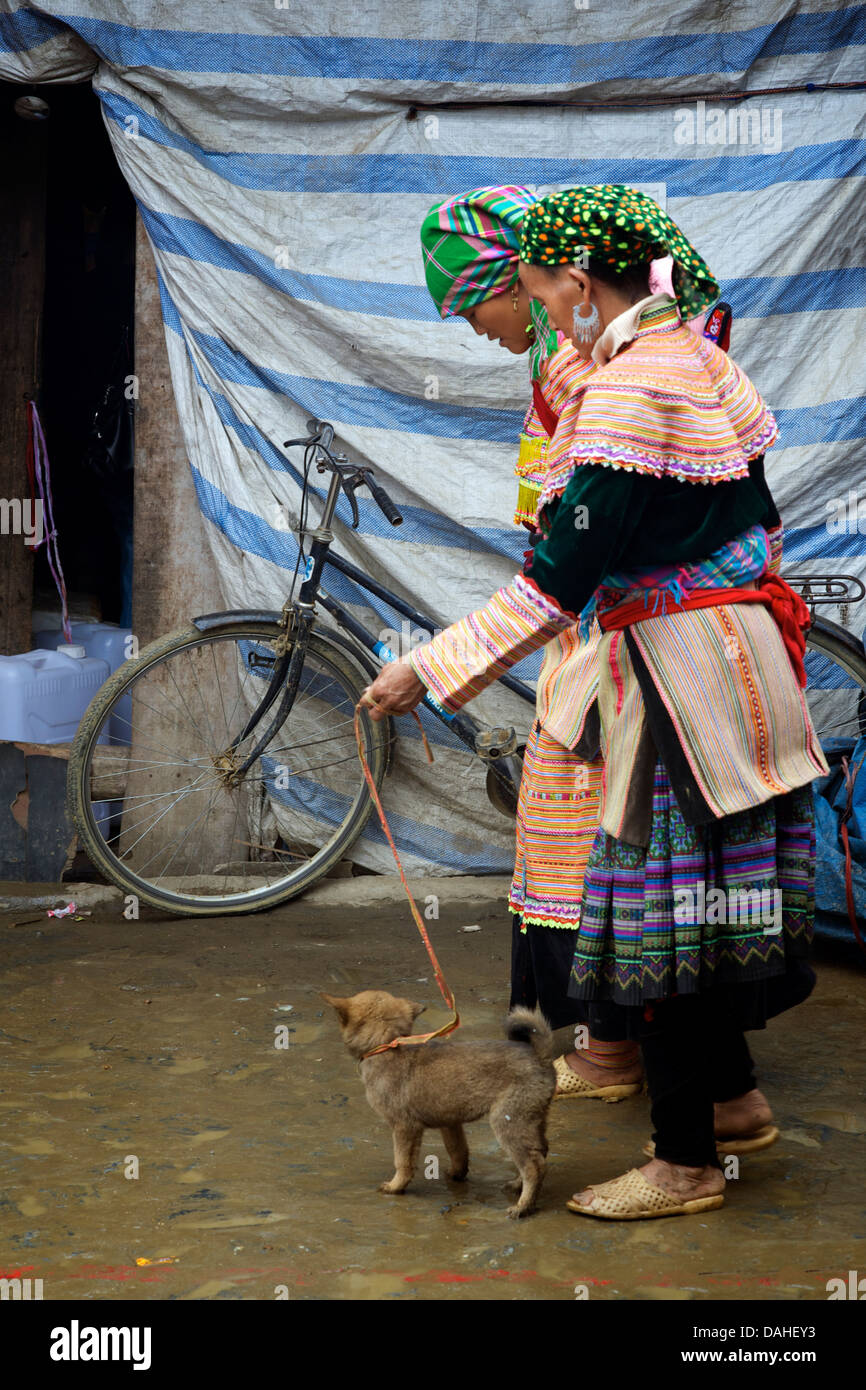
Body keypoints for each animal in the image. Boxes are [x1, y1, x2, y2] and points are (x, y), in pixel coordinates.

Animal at [319, 989, 556, 1217]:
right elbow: (458, 1150)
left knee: (534, 1166)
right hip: (532, 1121)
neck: (388, 1044)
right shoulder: (450, 1122)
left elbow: (402, 1162)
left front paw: (396, 1187)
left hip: (508, 1122)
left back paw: (523, 1207)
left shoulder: (404, 1127)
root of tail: (540, 1056)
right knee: (540, 1153)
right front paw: (457, 1174)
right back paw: (518, 1185)